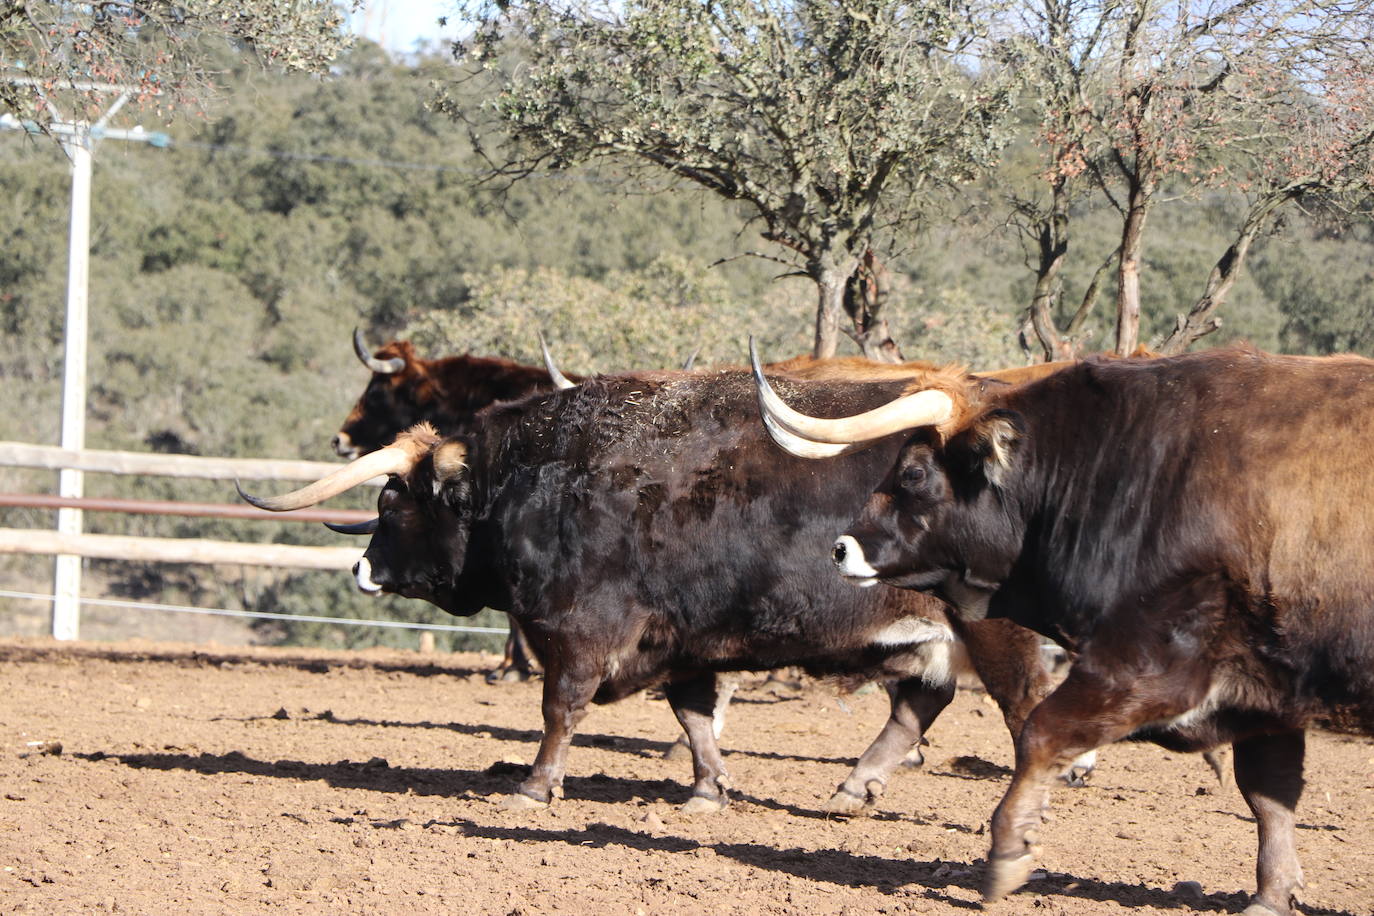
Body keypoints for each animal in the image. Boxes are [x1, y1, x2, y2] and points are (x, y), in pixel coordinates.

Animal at [758, 346, 1374, 916]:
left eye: (913, 472)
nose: (842, 548)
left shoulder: (1145, 664)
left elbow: (1042, 731)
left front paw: (1008, 853)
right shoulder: (1268, 691)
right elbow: (1270, 792)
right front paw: (1272, 893)